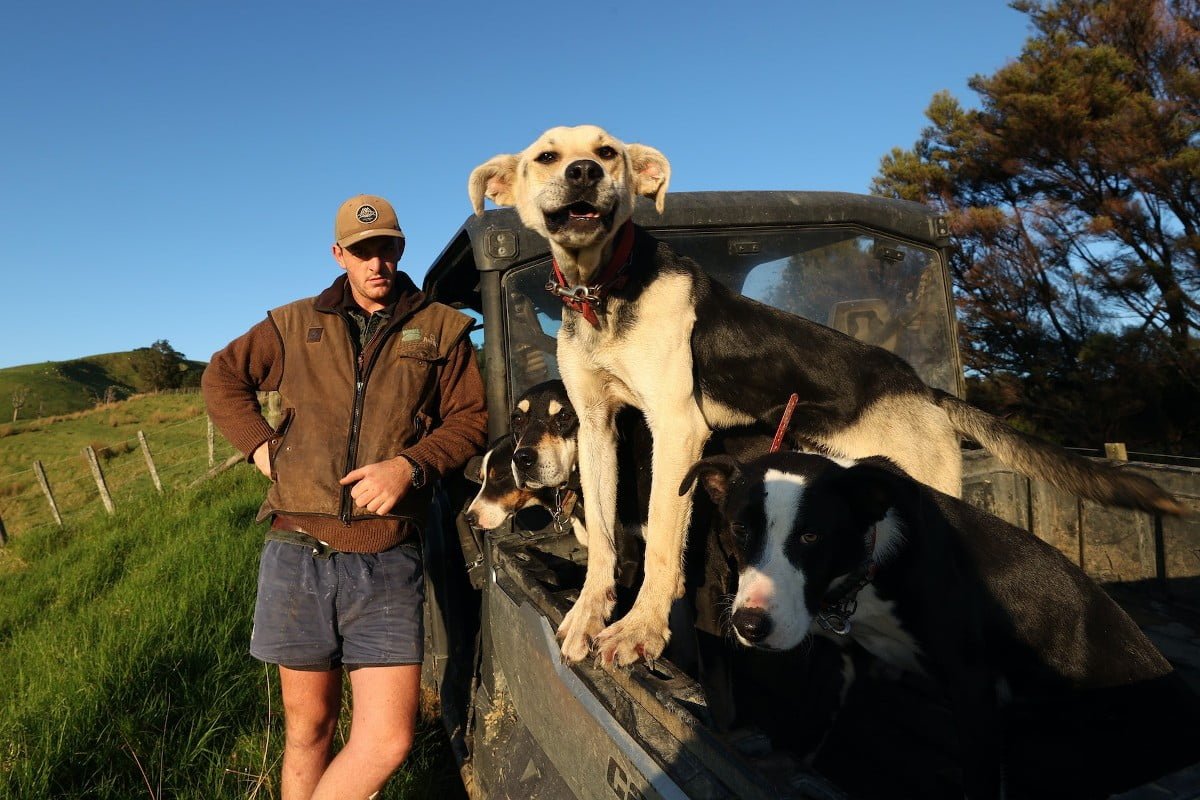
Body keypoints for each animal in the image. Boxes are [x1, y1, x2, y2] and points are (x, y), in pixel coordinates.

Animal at [465, 125, 1180, 666]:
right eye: (546, 157)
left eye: (607, 151)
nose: (585, 172)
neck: (601, 291)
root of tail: (921, 388)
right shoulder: (597, 423)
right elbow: (608, 542)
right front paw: (589, 616)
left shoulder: (674, 426)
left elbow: (665, 538)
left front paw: (640, 631)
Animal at [686, 453, 1200, 796]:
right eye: (739, 530)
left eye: (812, 536)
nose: (750, 625)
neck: (869, 573)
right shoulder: (835, 662)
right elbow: (805, 739)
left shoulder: (971, 681)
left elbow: (980, 778)